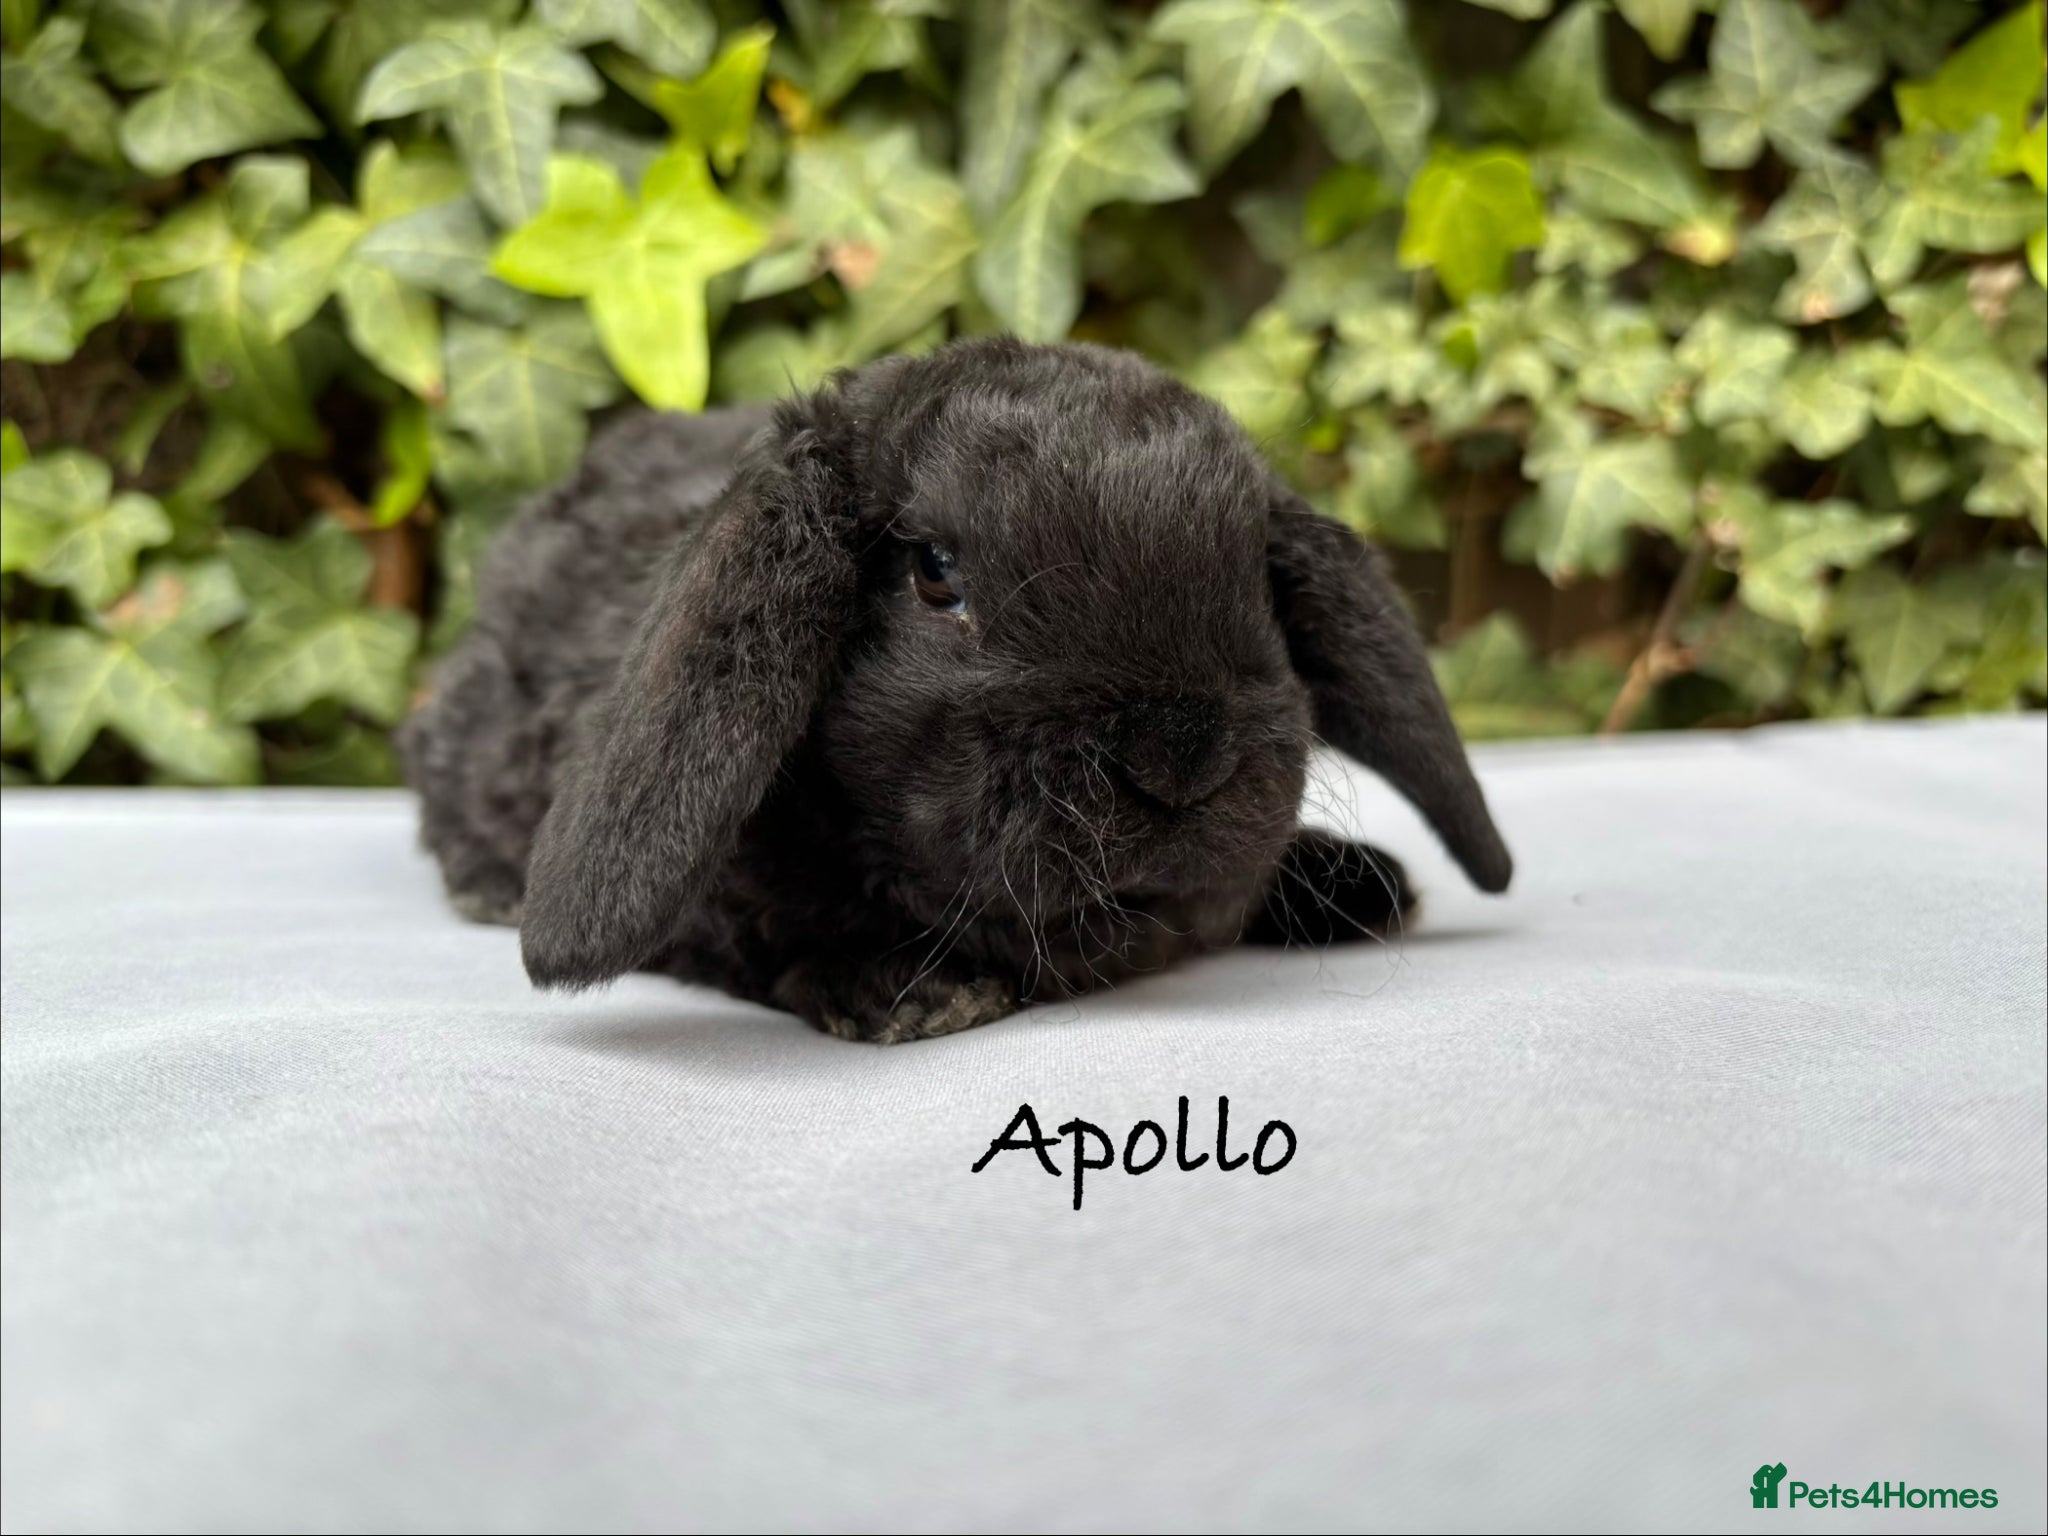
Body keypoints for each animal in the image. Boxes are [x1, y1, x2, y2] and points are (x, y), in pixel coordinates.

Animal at [399, 337, 1512, 1043]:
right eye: (935, 574)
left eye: (1255, 580)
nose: (1179, 755)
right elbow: (774, 930)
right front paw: (908, 988)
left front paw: (1356, 882)